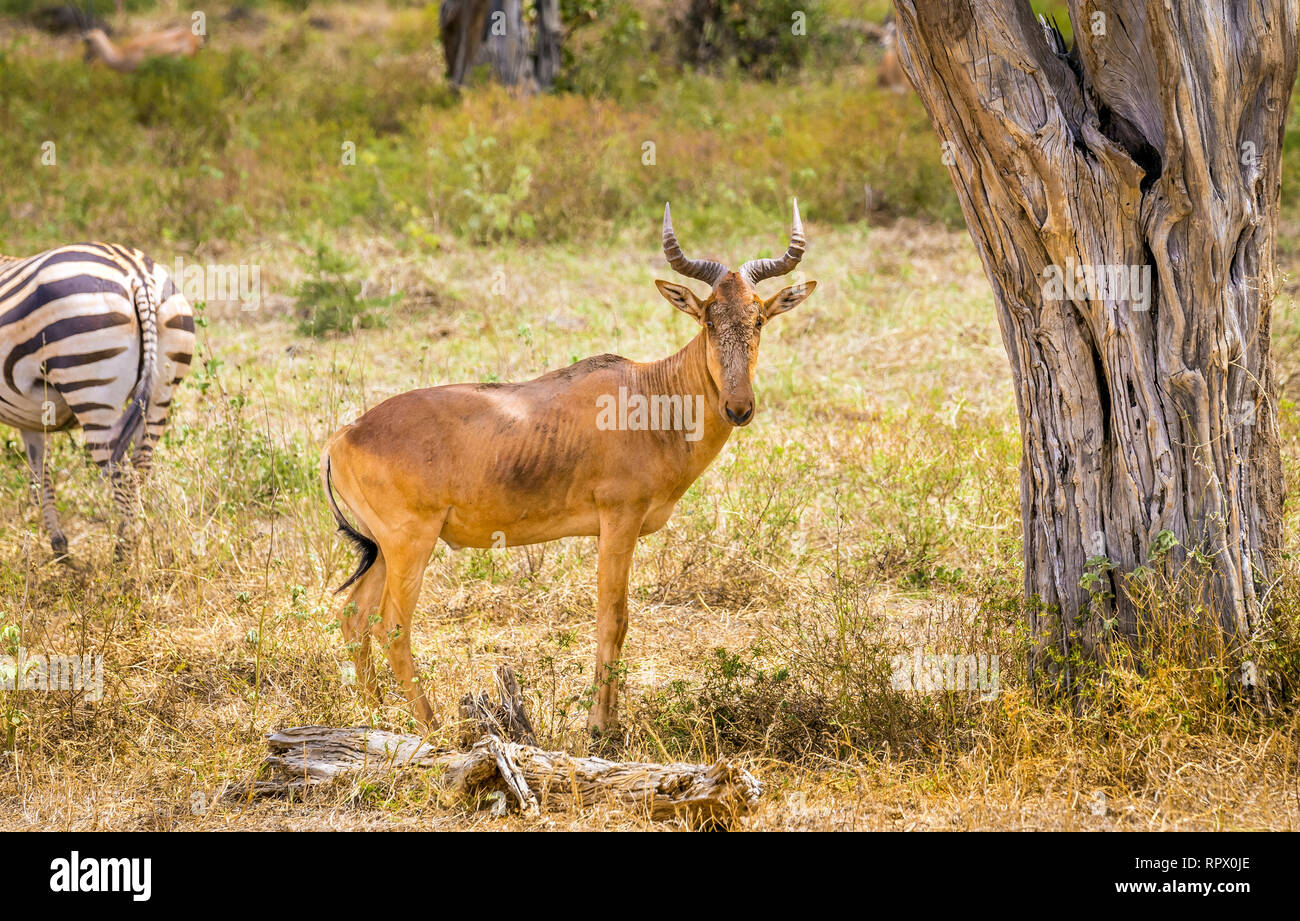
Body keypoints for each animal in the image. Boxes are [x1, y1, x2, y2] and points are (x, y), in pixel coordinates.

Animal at [0, 244, 195, 556]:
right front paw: (59, 546)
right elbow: (40, 472)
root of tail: (138, 275)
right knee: (141, 467)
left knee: (122, 475)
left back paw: (124, 560)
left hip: (92, 392)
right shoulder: (30, 418)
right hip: (160, 395)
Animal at [321, 199, 816, 728]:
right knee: (392, 625)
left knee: (354, 616)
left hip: (383, 547)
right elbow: (613, 617)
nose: (738, 408)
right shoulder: (618, 520)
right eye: (708, 318)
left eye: (758, 318)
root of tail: (345, 435)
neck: (648, 394)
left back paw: (375, 716)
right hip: (410, 542)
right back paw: (432, 726)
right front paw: (601, 727)